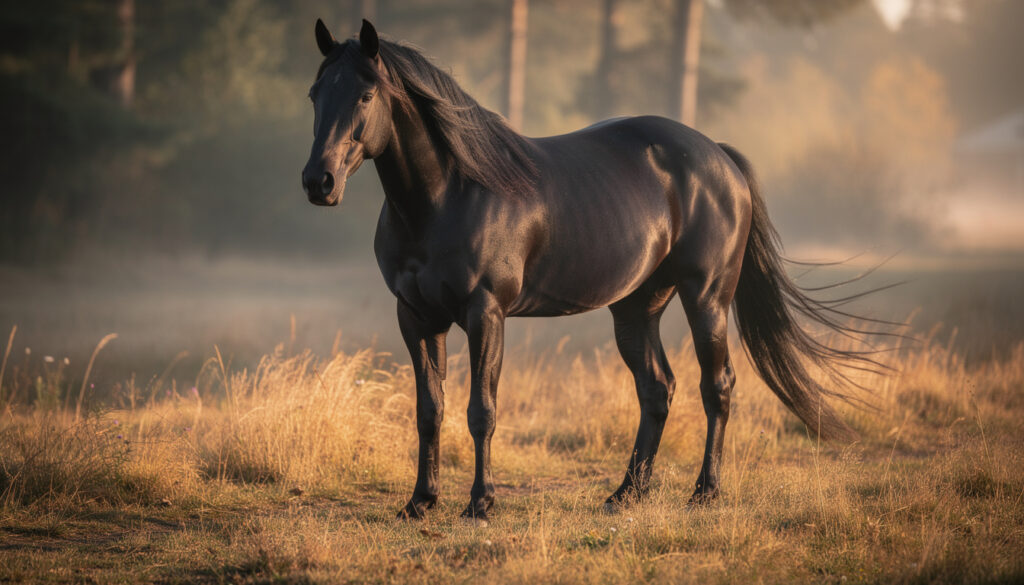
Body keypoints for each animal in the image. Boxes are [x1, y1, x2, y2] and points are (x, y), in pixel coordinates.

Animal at [302, 19, 878, 523]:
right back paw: (625, 495)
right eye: (315, 94)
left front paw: (480, 504)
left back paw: (704, 493)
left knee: (717, 387)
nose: (318, 181)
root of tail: (719, 157)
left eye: (366, 95)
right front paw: (420, 503)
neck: (449, 195)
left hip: (707, 298)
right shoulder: (417, 318)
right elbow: (429, 411)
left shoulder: (486, 314)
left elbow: (481, 410)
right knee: (657, 389)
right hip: (637, 307)